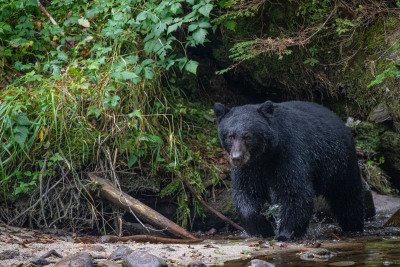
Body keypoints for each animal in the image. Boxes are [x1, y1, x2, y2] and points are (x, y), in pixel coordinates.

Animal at [214, 101, 370, 243]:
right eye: (230, 136)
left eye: (247, 136)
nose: (237, 157)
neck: (265, 156)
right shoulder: (249, 168)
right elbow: (246, 193)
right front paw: (263, 229)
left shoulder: (289, 153)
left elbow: (294, 191)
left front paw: (285, 234)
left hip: (340, 162)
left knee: (347, 195)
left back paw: (353, 225)